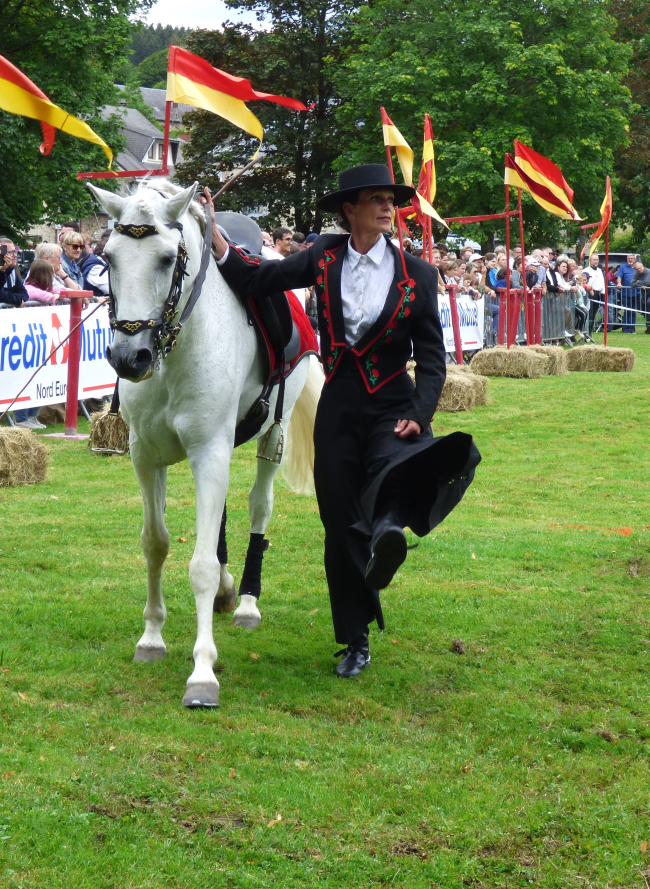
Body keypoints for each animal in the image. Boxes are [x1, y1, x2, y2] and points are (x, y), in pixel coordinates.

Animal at [88, 179, 322, 708]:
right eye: (108, 257)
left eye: (166, 259)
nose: (129, 357)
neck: (174, 352)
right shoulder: (146, 457)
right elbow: (156, 543)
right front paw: (151, 638)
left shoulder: (209, 452)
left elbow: (199, 565)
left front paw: (201, 673)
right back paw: (227, 591)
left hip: (270, 436)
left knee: (259, 507)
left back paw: (248, 601)